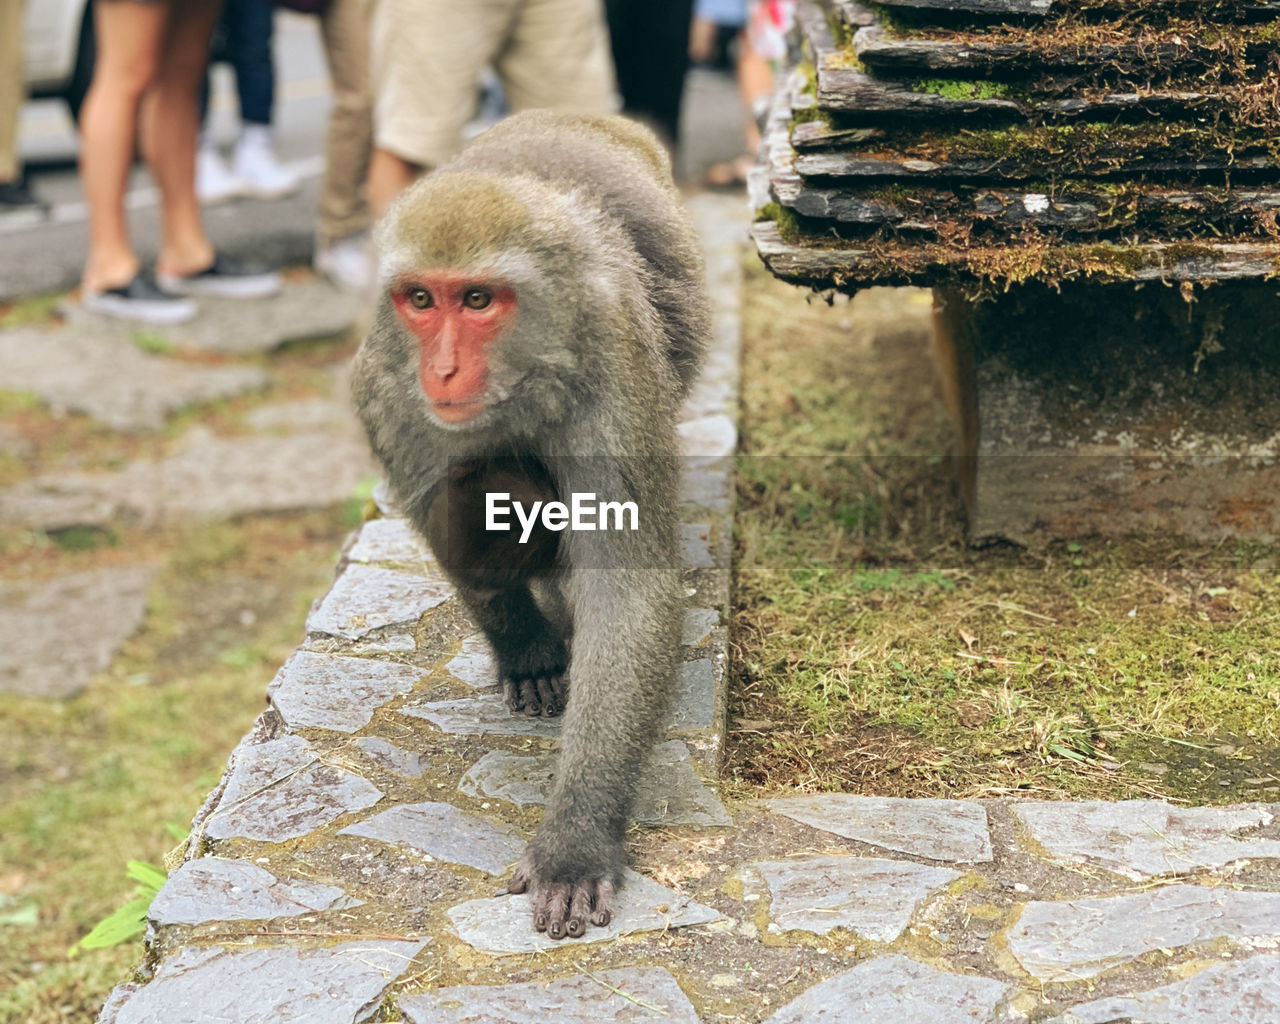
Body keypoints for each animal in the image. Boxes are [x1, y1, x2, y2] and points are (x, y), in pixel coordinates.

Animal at [350, 110, 711, 936]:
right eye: (421, 300)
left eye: (479, 300)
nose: (443, 370)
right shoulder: (389, 394)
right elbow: (454, 538)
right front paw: (526, 650)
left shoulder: (615, 383)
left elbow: (626, 593)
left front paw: (577, 837)